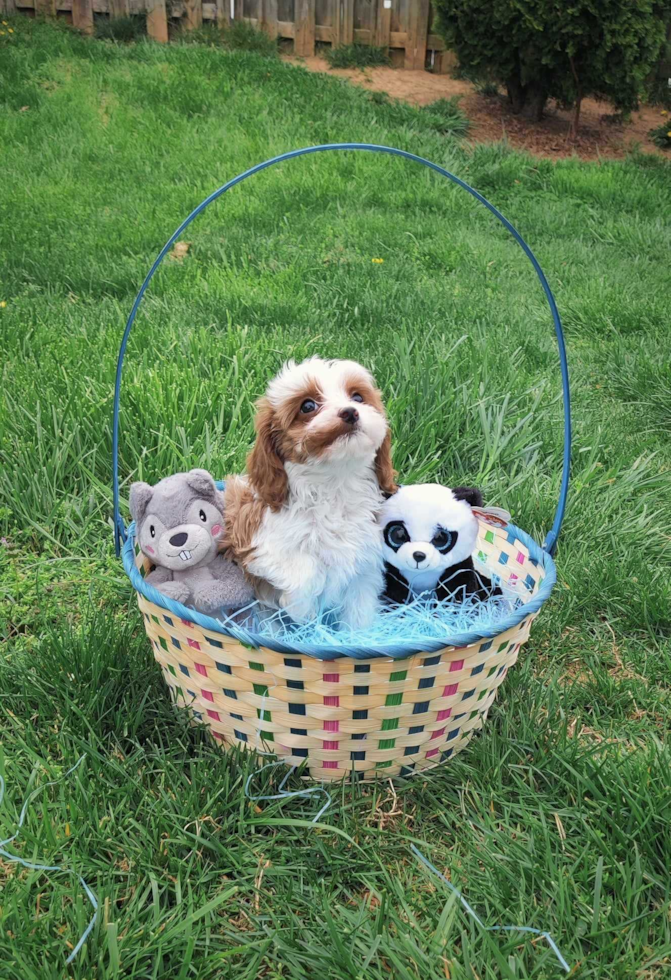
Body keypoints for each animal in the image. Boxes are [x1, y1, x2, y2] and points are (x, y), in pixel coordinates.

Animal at [223, 358, 396, 628]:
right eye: (307, 406)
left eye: (358, 397)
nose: (350, 412)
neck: (334, 482)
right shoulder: (255, 539)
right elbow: (304, 570)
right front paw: (303, 611)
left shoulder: (364, 565)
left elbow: (359, 613)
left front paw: (359, 634)